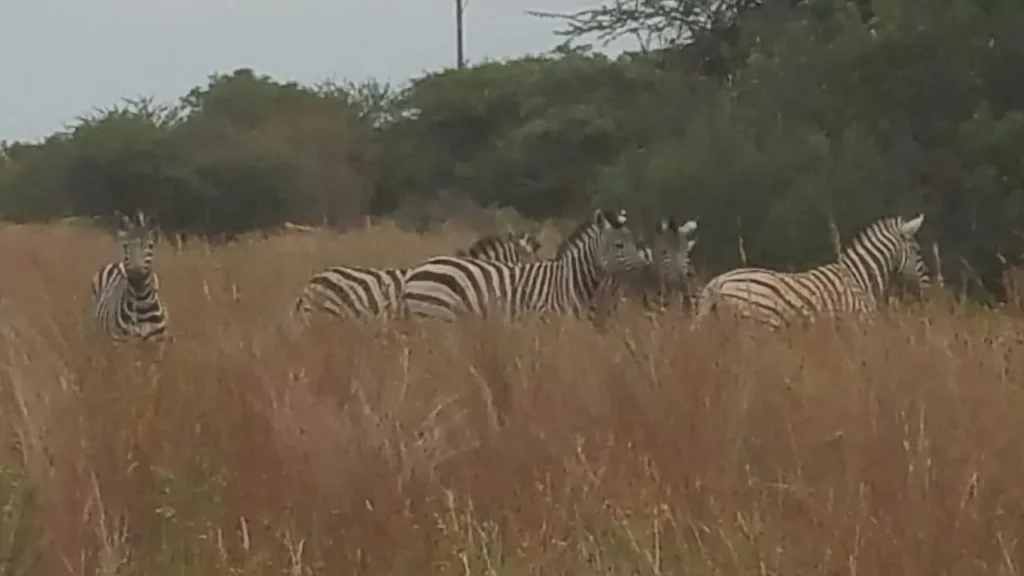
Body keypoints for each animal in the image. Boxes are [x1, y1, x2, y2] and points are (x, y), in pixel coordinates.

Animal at [90, 211, 168, 343]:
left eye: (150, 246)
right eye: (125, 246)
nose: (136, 271)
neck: (142, 304)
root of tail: (119, 264)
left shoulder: (158, 342)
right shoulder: (122, 341)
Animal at [400, 208, 647, 322]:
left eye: (634, 241)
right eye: (618, 245)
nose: (645, 266)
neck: (569, 280)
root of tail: (414, 273)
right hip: (437, 316)